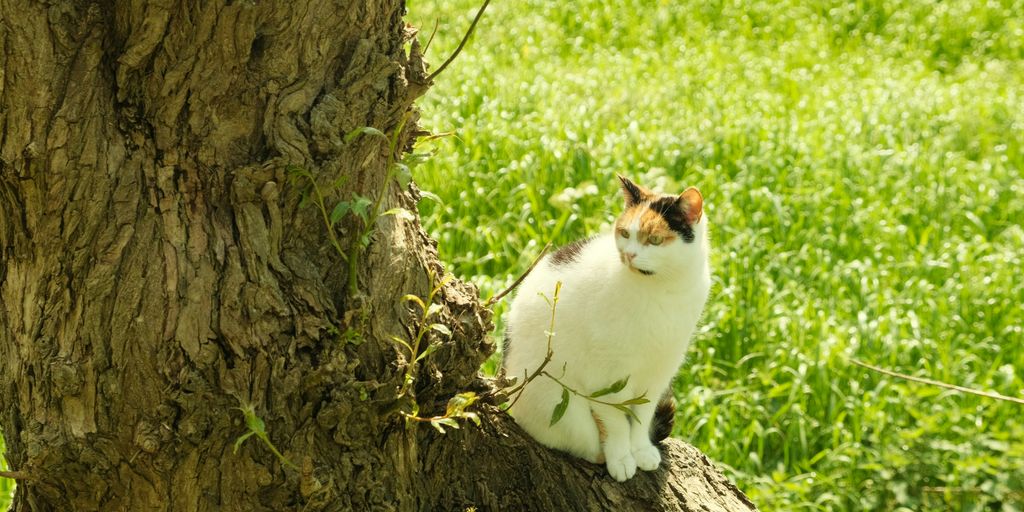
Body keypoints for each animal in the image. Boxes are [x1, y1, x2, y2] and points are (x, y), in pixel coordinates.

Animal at [499, 174, 708, 481]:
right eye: (624, 233)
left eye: (655, 239)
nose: (629, 255)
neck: (663, 289)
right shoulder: (605, 377)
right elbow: (616, 420)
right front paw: (622, 458)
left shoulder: (660, 370)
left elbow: (642, 414)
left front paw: (641, 450)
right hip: (562, 407)